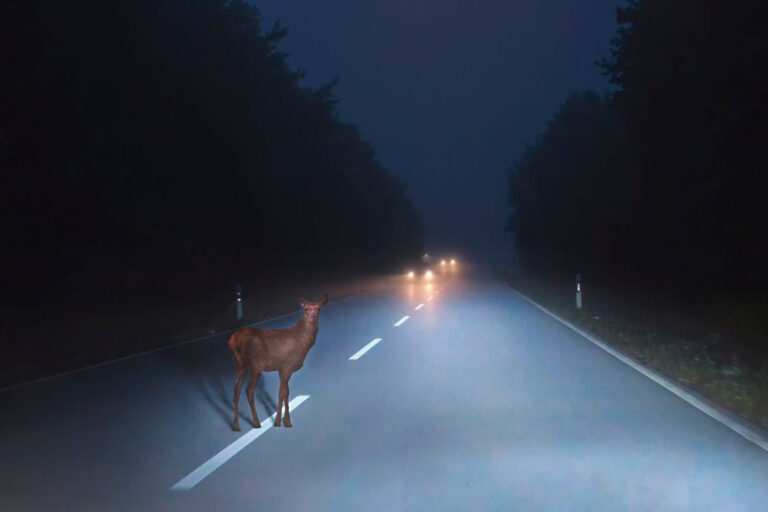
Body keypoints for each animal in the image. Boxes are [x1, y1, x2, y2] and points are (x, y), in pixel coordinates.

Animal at [228, 294, 328, 431]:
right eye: (306, 309)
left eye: (318, 308)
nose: (313, 315)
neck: (303, 343)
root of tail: (234, 340)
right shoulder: (287, 367)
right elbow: (281, 393)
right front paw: (278, 422)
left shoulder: (283, 370)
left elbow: (286, 393)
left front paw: (287, 421)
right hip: (256, 365)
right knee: (249, 390)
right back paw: (256, 422)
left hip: (240, 363)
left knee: (236, 389)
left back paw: (236, 425)